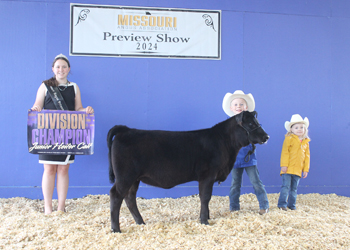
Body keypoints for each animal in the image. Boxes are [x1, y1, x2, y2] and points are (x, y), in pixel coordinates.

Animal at [106, 111, 268, 232]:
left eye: (257, 121)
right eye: (251, 124)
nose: (266, 136)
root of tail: (127, 130)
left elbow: (206, 198)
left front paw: (207, 217)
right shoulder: (207, 175)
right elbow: (205, 197)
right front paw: (204, 220)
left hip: (134, 179)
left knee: (130, 198)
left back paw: (140, 222)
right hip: (125, 176)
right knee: (116, 195)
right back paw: (116, 229)